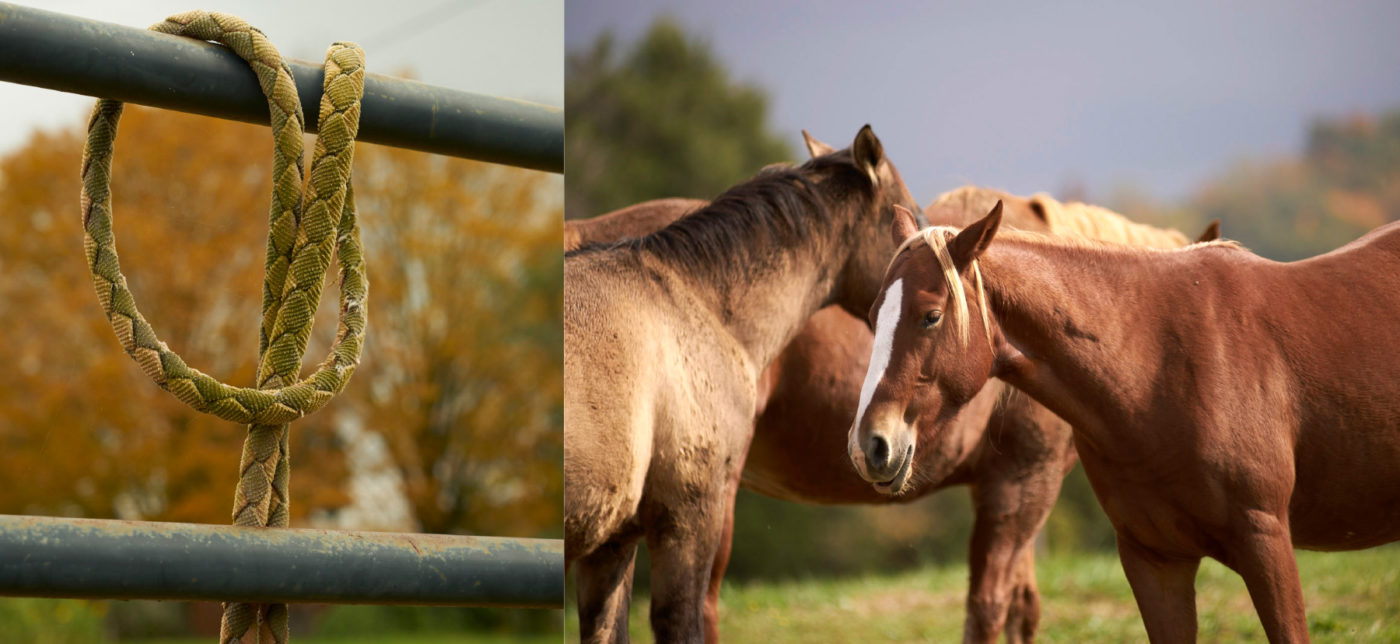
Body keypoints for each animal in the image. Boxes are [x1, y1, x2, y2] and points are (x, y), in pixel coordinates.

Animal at [851, 204, 1400, 644]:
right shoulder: (1155, 561)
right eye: (874, 314)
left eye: (931, 315)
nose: (869, 446)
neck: (1160, 369)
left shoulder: (1267, 543)